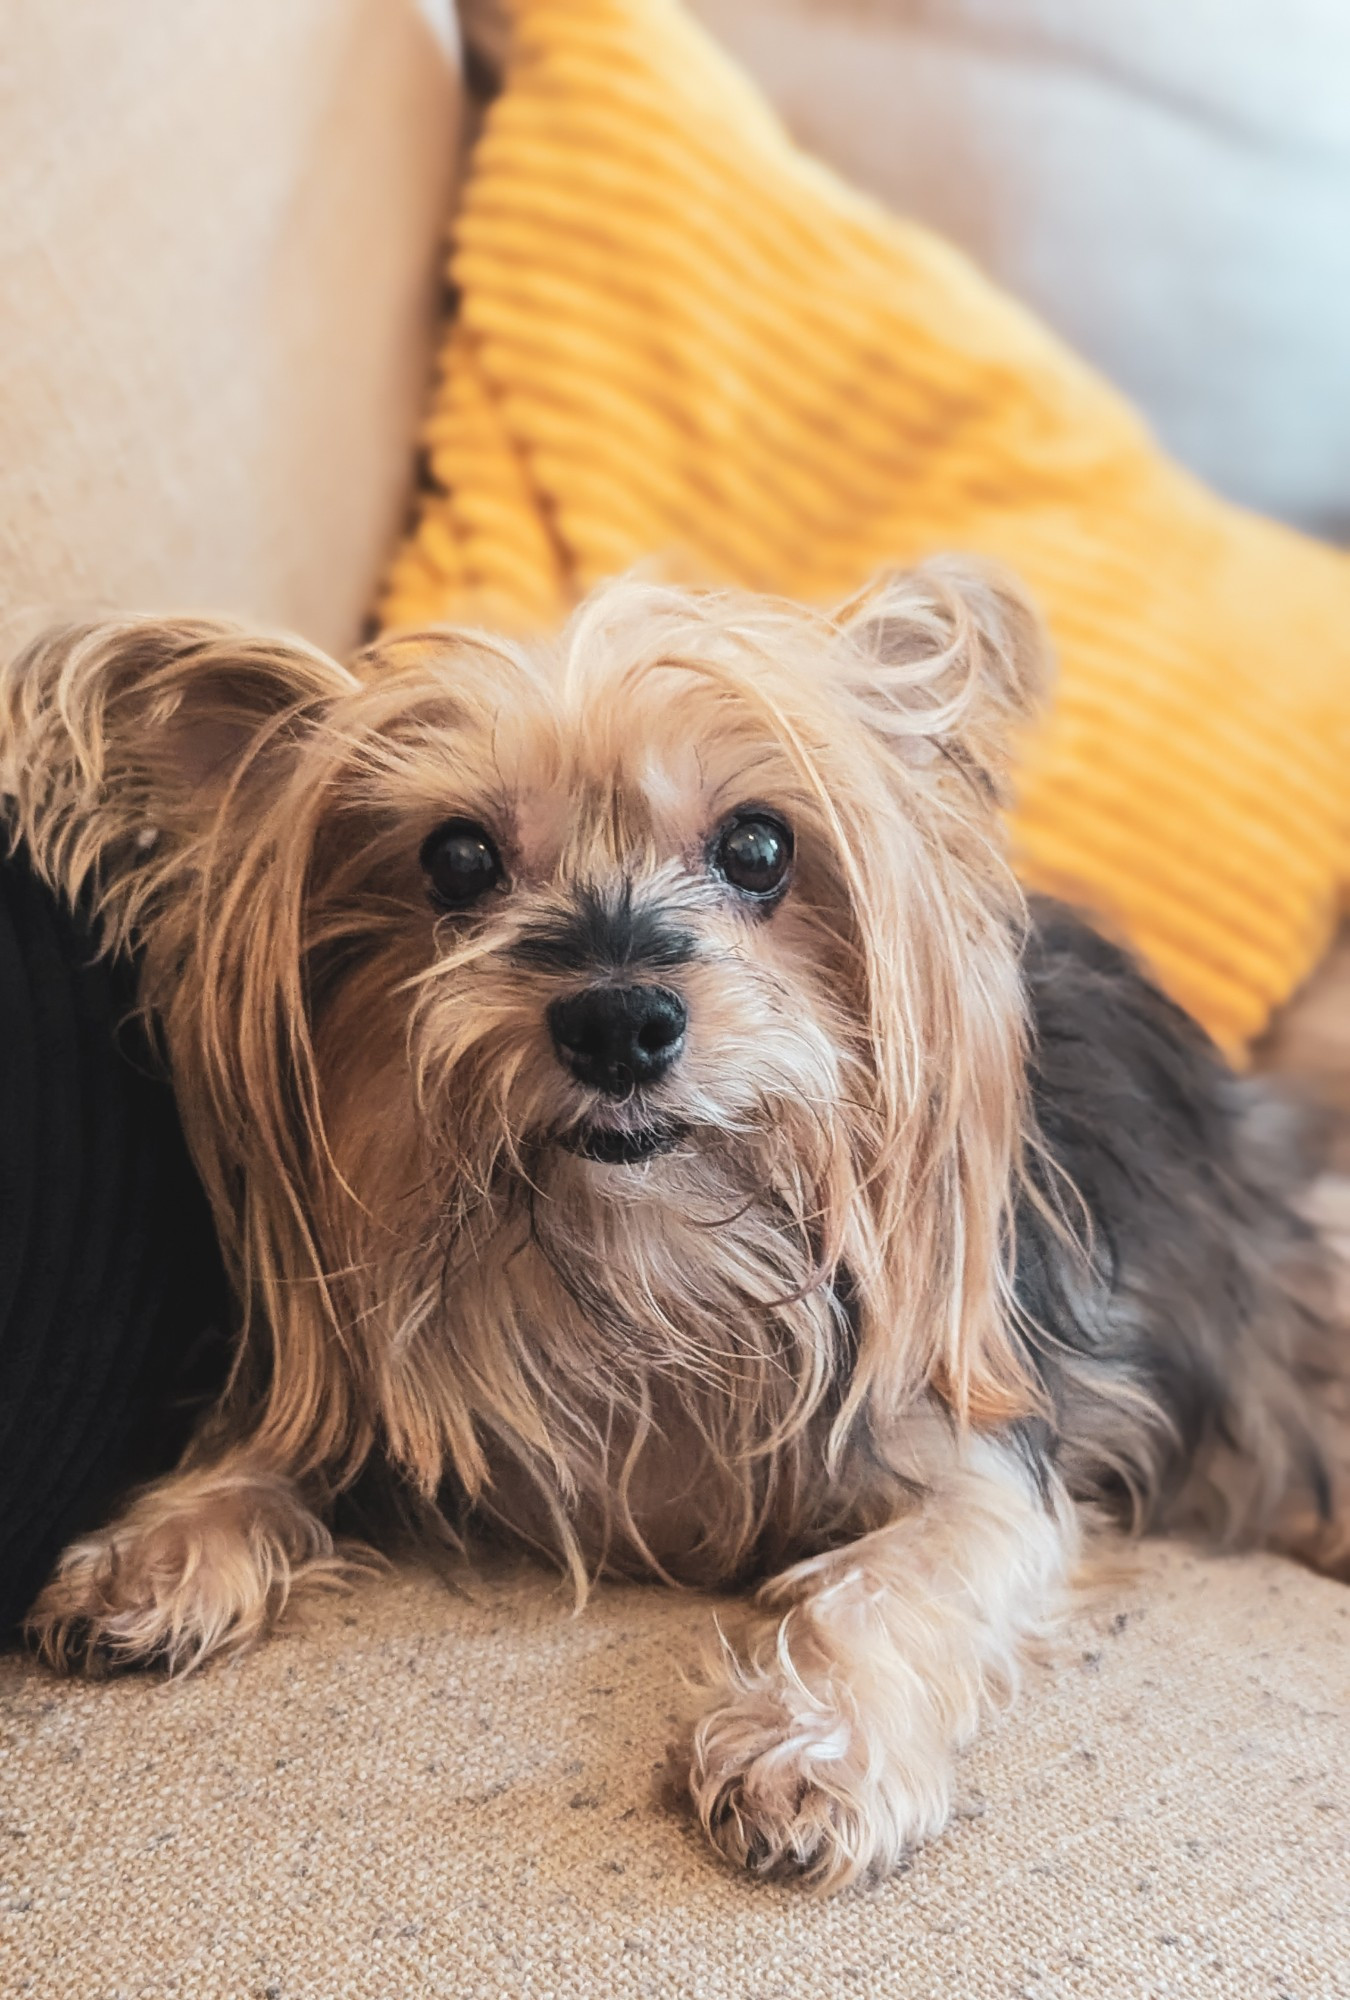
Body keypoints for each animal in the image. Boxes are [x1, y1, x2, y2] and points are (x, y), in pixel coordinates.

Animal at [2, 568, 1350, 1888]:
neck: (648, 1255)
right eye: (457, 858)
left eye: (758, 844)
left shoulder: (972, 1440)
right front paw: (162, 1544)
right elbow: (277, 1439)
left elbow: (897, 1577)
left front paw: (813, 1748)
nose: (617, 1021)